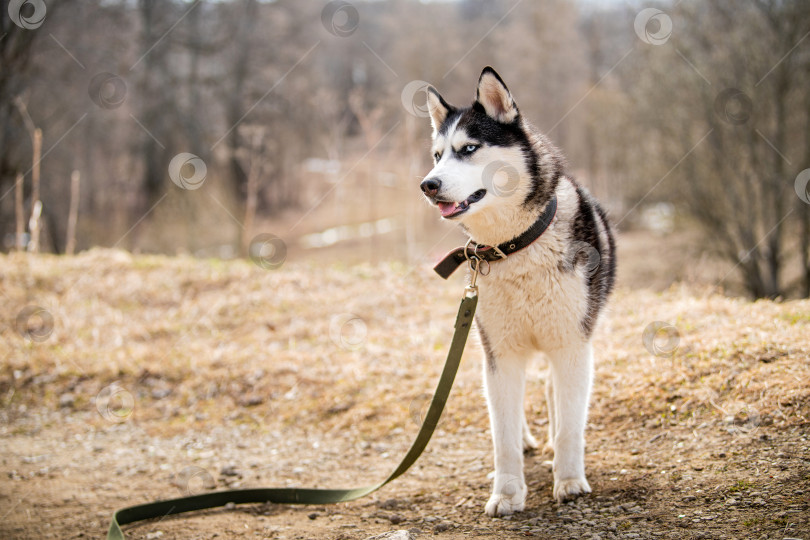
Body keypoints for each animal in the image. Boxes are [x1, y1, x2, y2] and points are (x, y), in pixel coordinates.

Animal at [422, 68, 612, 520]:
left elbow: (571, 424)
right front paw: (507, 494)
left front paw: (569, 480)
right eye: (437, 155)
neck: (517, 246)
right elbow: (502, 435)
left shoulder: (572, 345)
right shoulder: (501, 353)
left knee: (554, 394)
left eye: (469, 149)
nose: (427, 185)